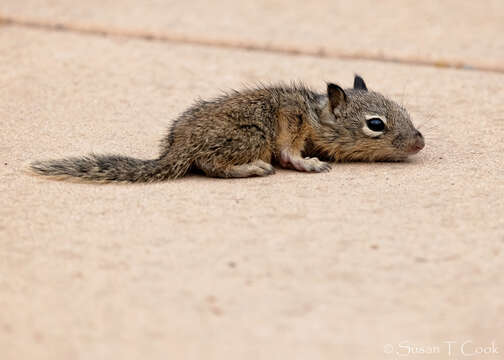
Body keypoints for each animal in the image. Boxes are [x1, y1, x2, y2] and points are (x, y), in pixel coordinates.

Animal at [30, 76, 426, 183]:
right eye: (375, 124)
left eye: (406, 111)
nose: (419, 143)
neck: (316, 117)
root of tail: (178, 147)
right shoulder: (290, 120)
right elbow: (289, 151)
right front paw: (307, 163)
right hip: (249, 135)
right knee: (211, 166)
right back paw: (251, 168)